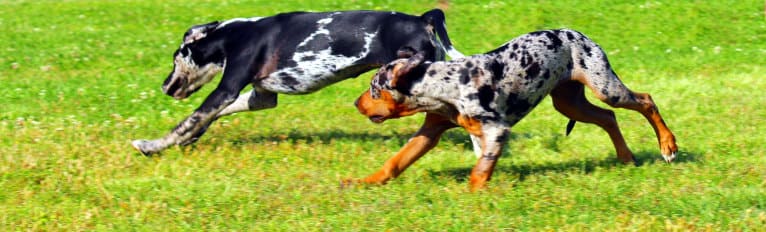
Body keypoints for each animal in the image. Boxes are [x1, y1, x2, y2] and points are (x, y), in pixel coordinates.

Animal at [132, 9, 464, 155]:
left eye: (175, 58)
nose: (164, 85)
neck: (231, 36)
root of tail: (422, 19)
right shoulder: (261, 97)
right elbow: (204, 120)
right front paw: (190, 139)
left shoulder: (225, 90)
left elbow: (187, 121)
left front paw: (153, 145)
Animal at [352, 28, 680, 190]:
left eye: (374, 89)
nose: (356, 103)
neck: (446, 85)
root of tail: (575, 32)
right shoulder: (430, 131)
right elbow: (395, 162)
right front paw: (362, 182)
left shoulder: (497, 131)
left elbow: (479, 171)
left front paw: (473, 194)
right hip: (569, 104)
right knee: (609, 118)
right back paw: (626, 157)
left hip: (606, 89)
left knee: (645, 100)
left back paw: (668, 146)